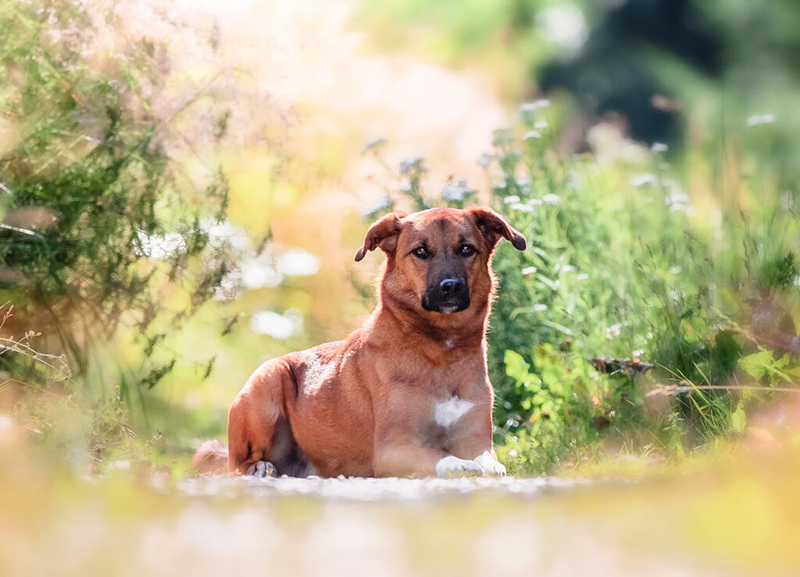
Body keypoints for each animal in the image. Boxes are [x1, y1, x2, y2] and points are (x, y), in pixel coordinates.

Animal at [193, 206, 524, 476]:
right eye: (420, 251)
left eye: (467, 249)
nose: (450, 287)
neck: (442, 348)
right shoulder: (393, 449)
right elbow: (442, 457)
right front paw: (464, 467)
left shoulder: (475, 438)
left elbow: (486, 457)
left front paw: (488, 466)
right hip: (266, 385)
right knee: (236, 464)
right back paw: (258, 468)